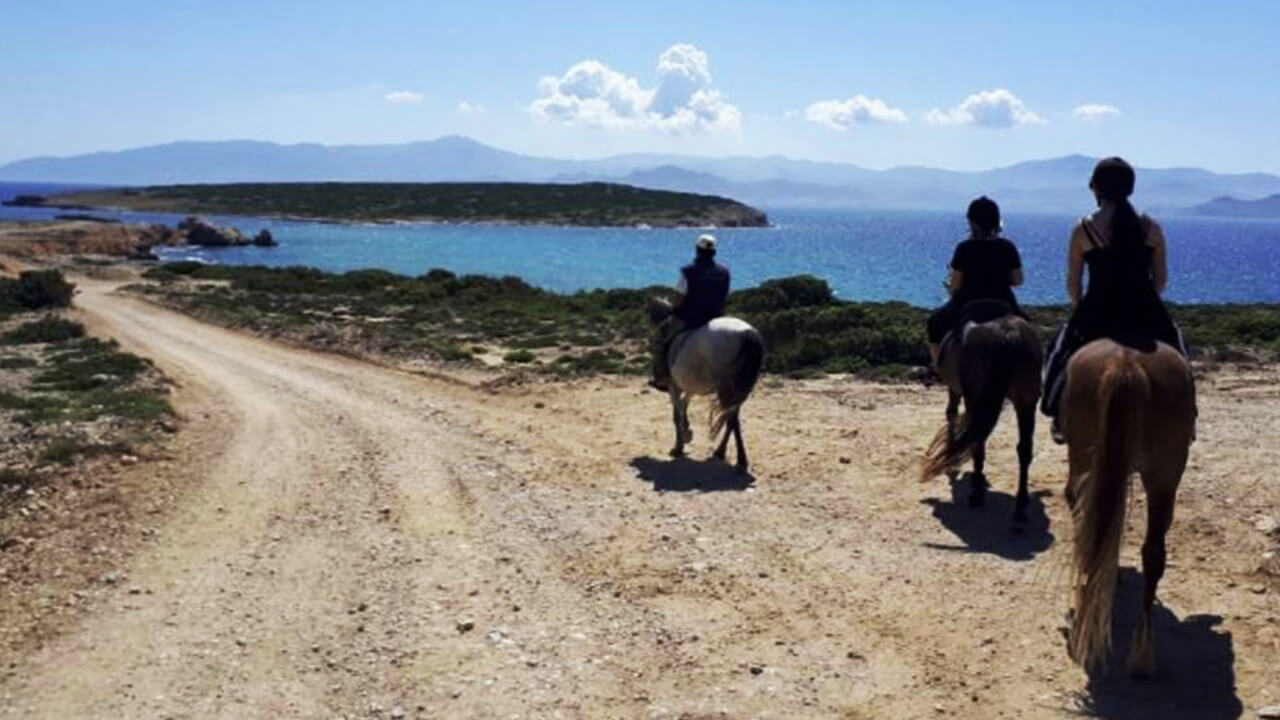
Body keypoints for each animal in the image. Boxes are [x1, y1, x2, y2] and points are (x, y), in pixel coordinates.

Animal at [645, 294, 762, 468]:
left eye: (654, 340)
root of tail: (747, 333)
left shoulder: (674, 386)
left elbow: (676, 415)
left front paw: (678, 447)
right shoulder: (690, 387)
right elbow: (684, 405)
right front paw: (687, 432)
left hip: (726, 389)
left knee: (730, 419)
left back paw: (732, 456)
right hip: (740, 391)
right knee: (732, 419)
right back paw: (727, 454)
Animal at [921, 308, 1039, 520]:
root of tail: (1008, 333)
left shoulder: (958, 390)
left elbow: (951, 414)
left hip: (976, 398)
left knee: (977, 439)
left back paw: (977, 493)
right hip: (1026, 401)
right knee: (1024, 449)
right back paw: (1020, 505)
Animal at [1054, 335, 1192, 671]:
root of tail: (1126, 363)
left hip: (1088, 461)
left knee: (1091, 531)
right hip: (1164, 475)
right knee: (1152, 551)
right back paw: (1141, 652)